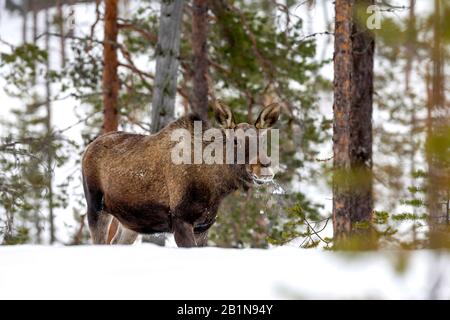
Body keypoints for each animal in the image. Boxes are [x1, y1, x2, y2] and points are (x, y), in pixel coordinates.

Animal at [80, 100, 278, 248]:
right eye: (235, 141)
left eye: (263, 139)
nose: (263, 166)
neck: (217, 188)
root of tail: (88, 147)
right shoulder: (181, 220)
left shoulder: (203, 226)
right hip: (96, 205)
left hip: (131, 223)